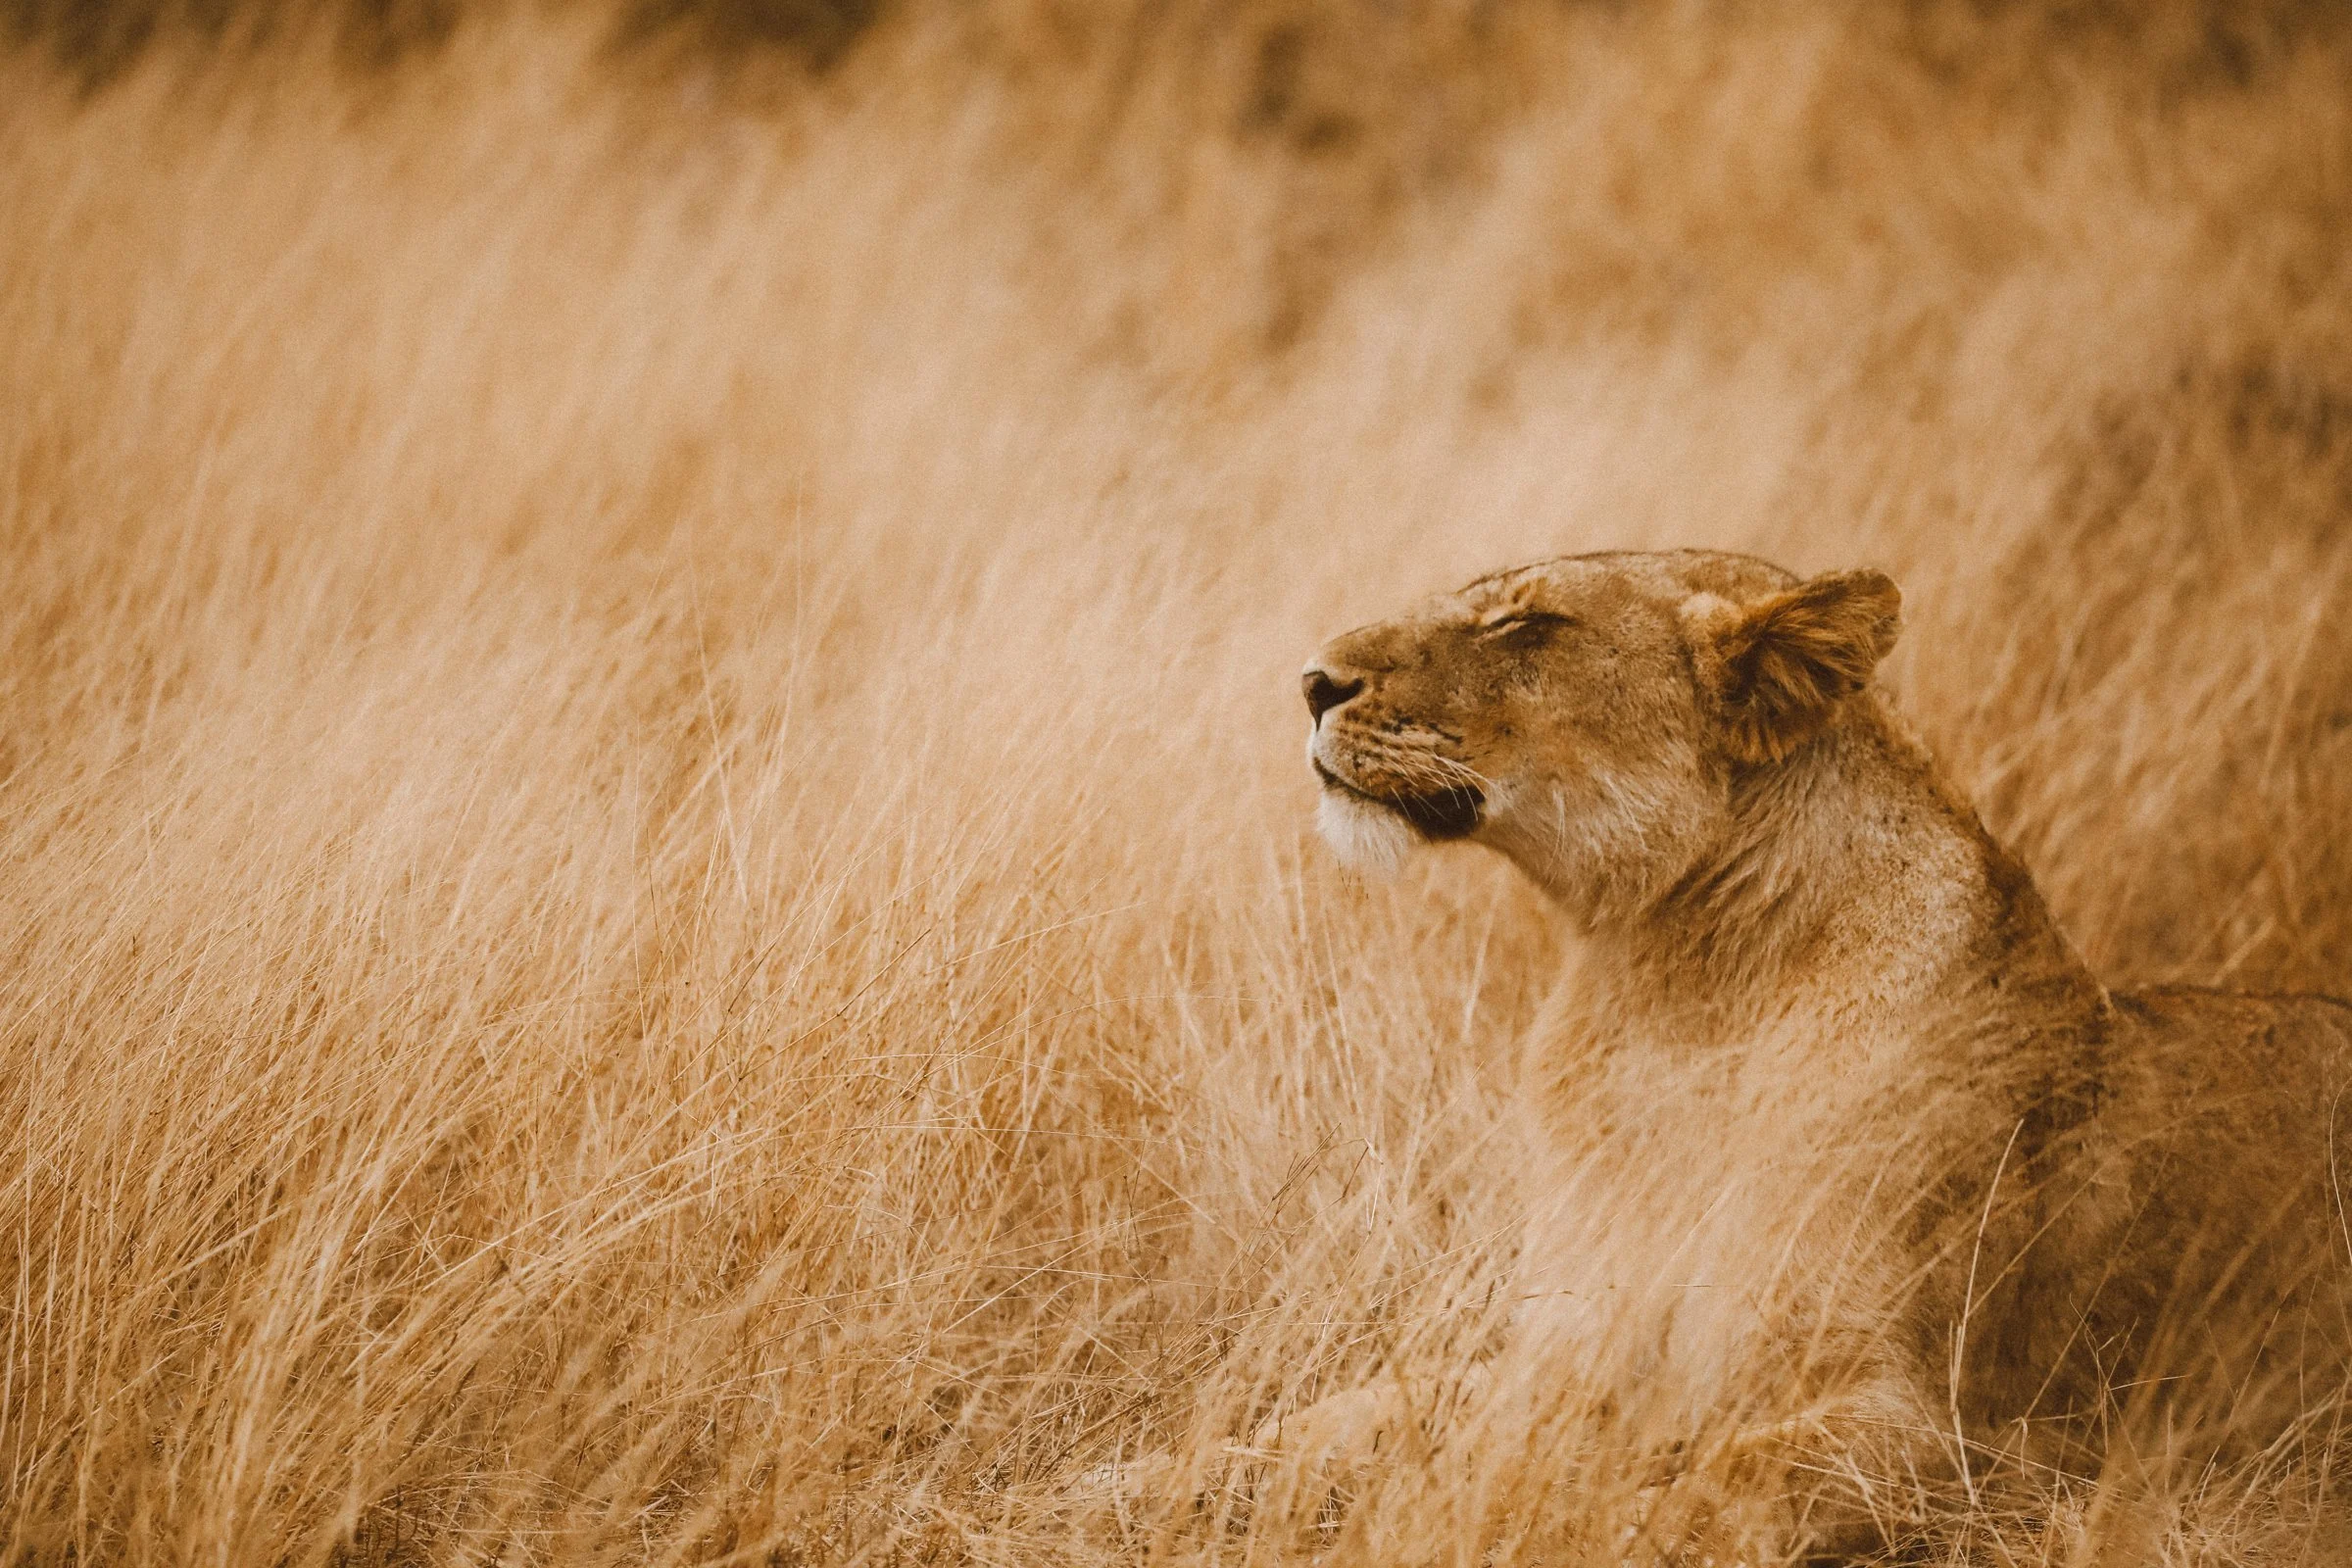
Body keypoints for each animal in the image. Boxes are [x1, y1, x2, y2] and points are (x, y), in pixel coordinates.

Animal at [1288, 548, 2352, 1553]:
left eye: (1524, 624)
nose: (1310, 681)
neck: (1673, 992)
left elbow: (1708, 1494)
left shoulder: (1960, 1437)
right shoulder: (1572, 1346)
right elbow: (1367, 1408)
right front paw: (1256, 1470)